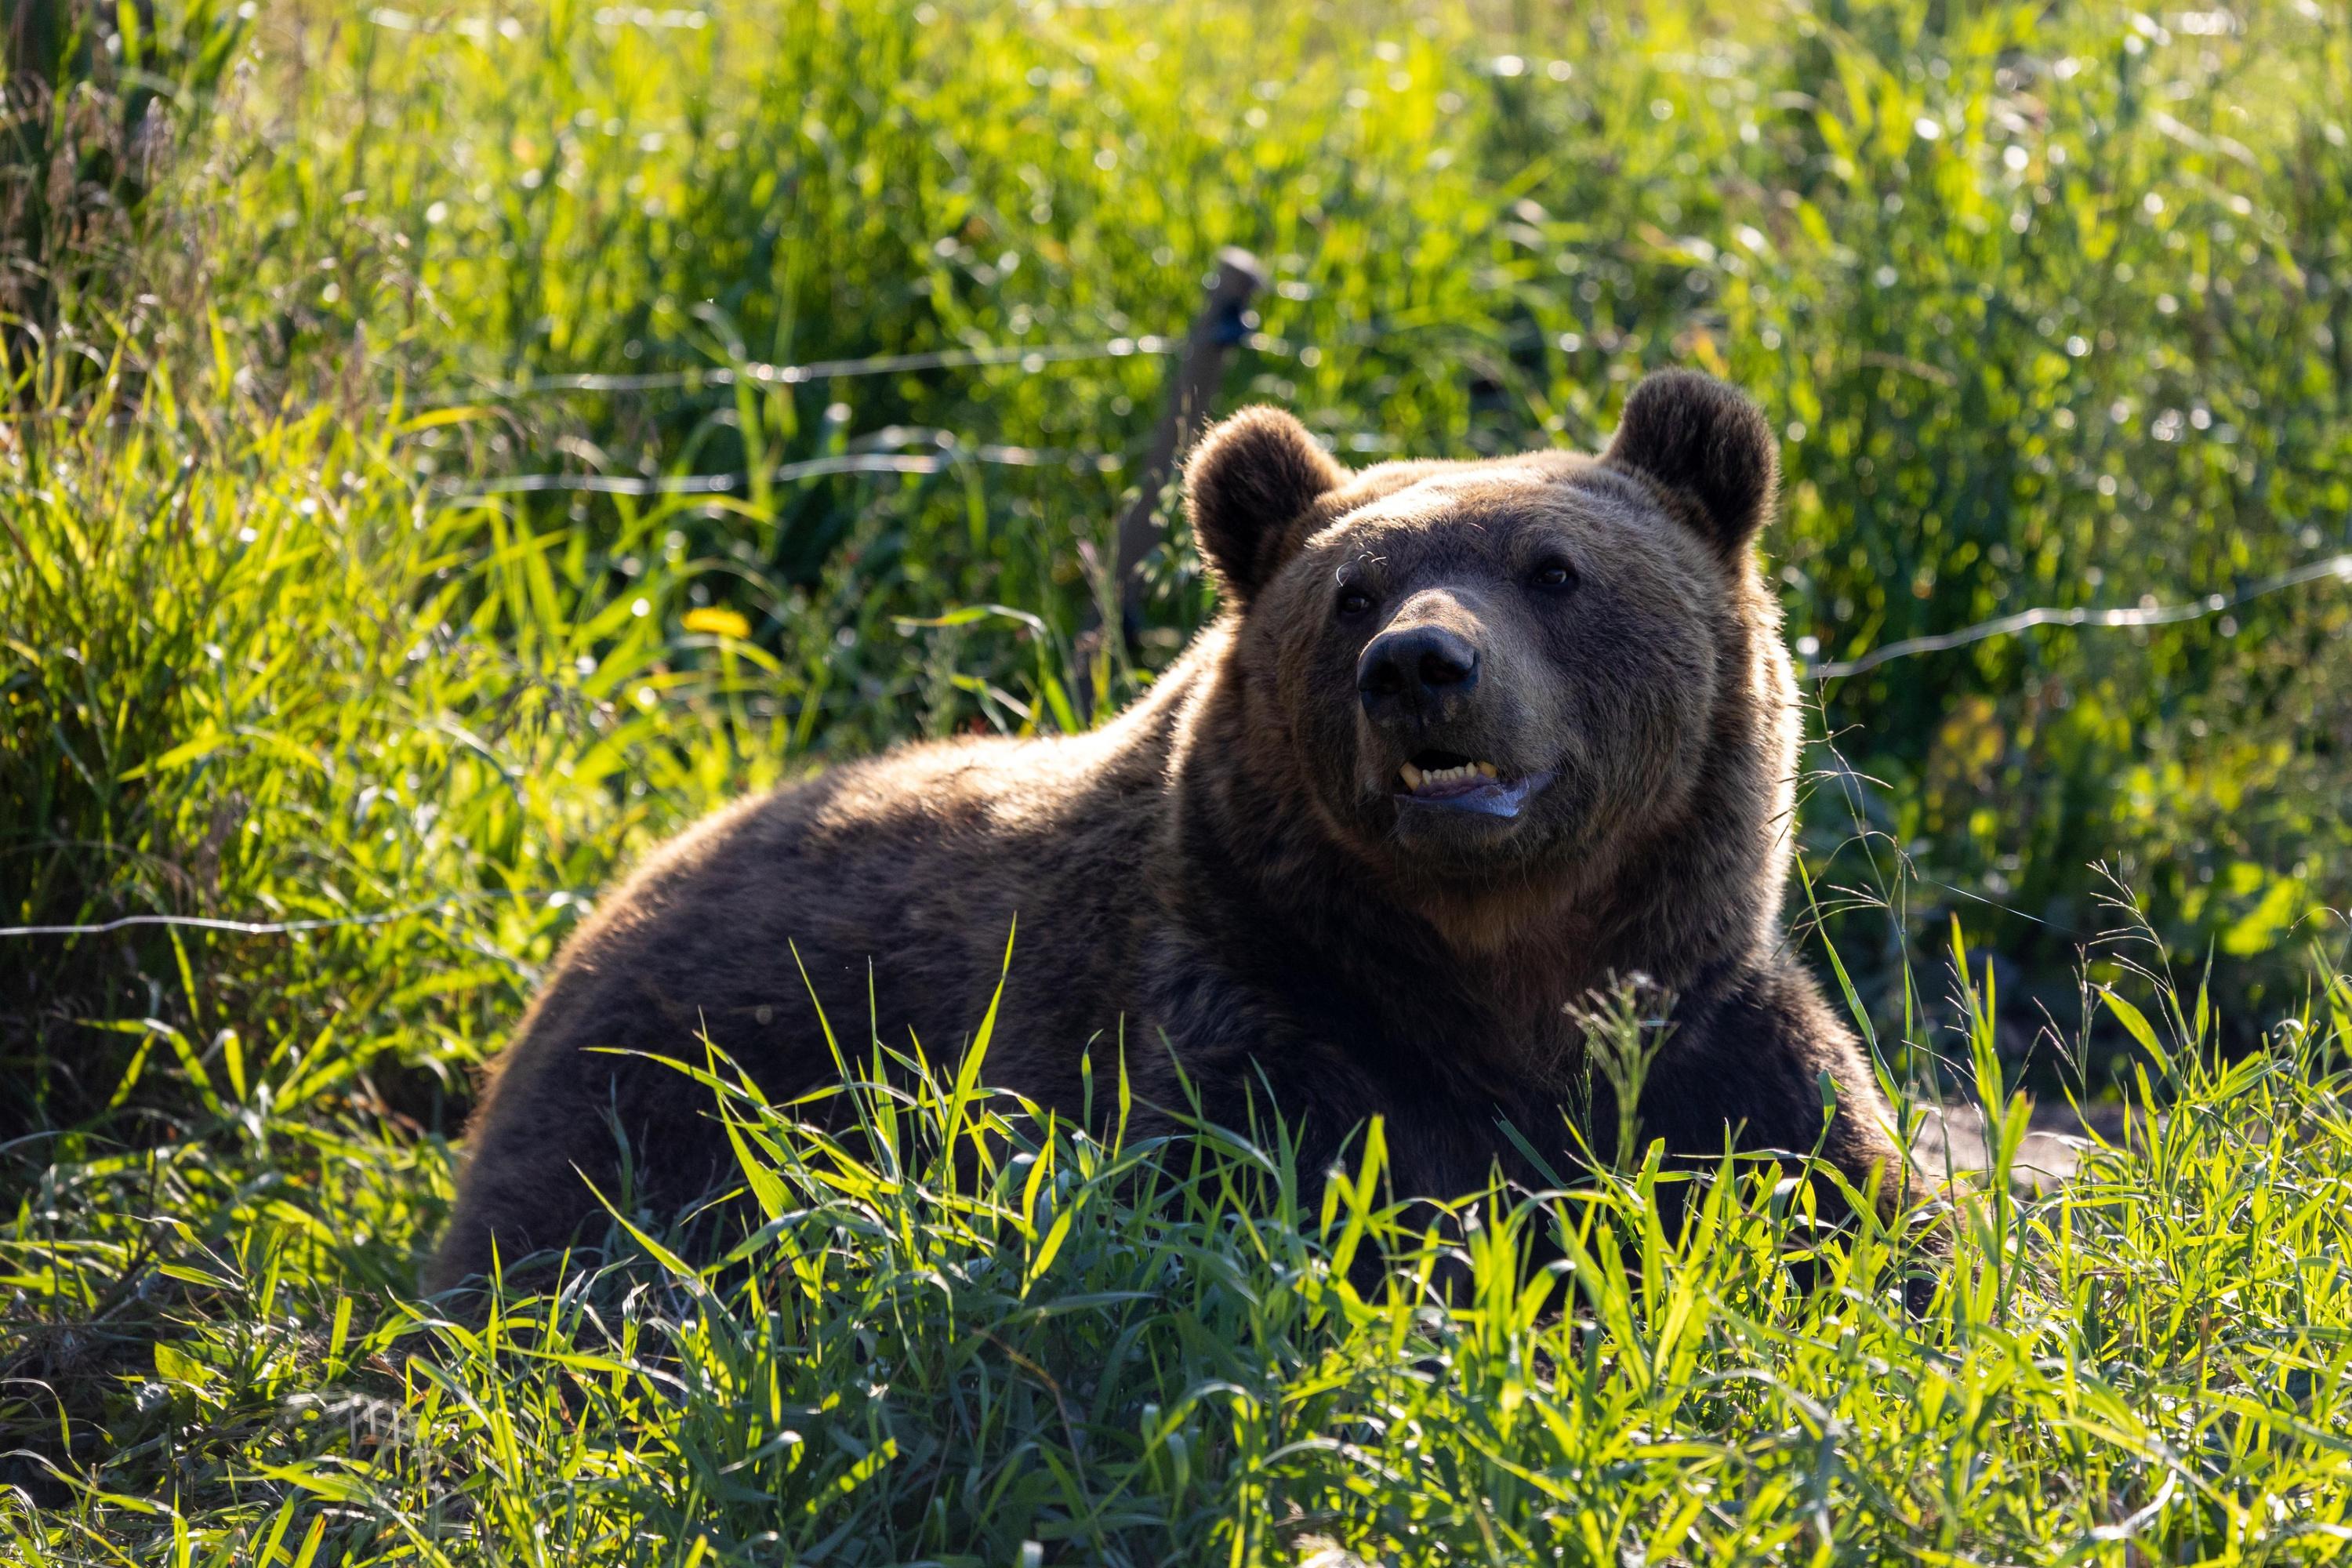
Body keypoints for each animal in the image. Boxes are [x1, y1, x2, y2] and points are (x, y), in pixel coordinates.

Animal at [428, 371, 1910, 1298]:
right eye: (1353, 591)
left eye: (1556, 571)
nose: (1420, 665)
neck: (1498, 974)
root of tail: (610, 905)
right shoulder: (1251, 1031)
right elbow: (1265, 1220)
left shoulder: (1714, 1049)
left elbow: (1853, 1237)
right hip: (661, 1091)